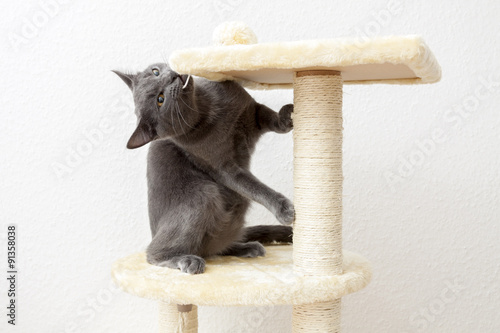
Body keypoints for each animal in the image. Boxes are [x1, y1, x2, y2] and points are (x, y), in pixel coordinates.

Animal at [113, 63, 292, 274]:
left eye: (155, 71)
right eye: (160, 100)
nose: (170, 77)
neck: (208, 108)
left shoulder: (251, 110)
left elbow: (271, 118)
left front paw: (288, 116)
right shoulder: (224, 169)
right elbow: (255, 187)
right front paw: (284, 209)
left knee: (215, 248)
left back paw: (247, 247)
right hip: (203, 194)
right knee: (153, 254)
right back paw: (188, 260)